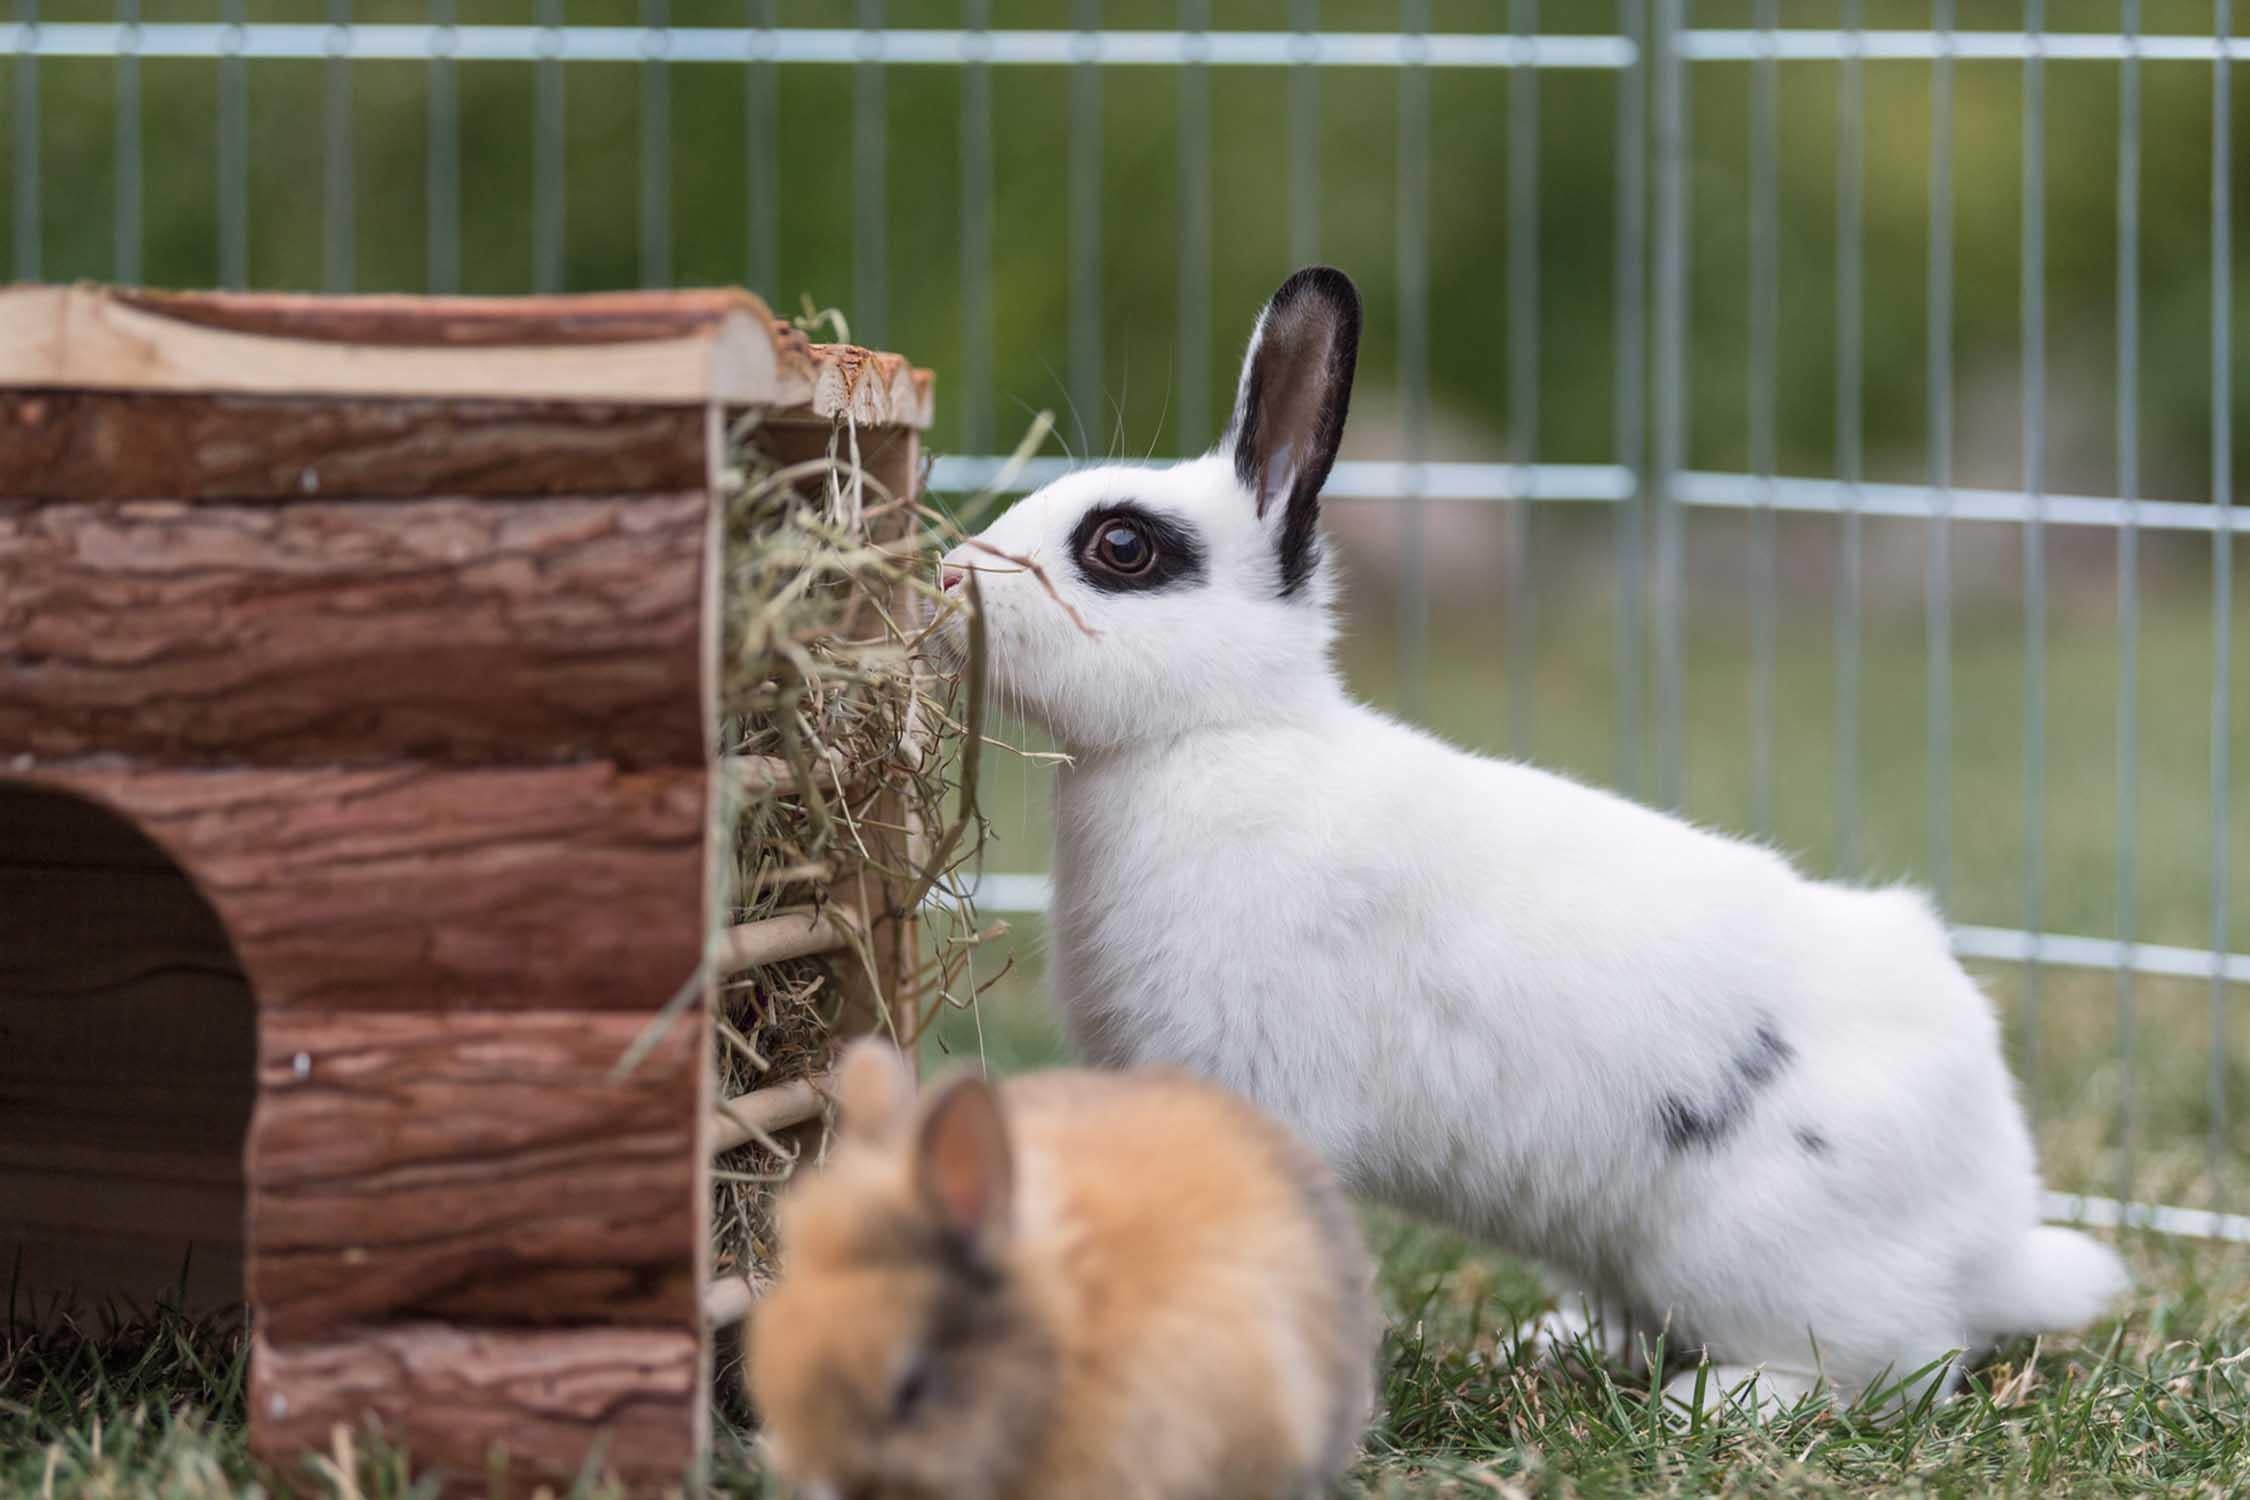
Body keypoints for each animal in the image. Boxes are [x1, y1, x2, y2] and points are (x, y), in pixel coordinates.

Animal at [936, 273, 2124, 1421]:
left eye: (1121, 547)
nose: (948, 577)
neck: (1215, 736)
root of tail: (1990, 1231)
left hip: (1764, 1254)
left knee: (1895, 1367)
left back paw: (1720, 1404)